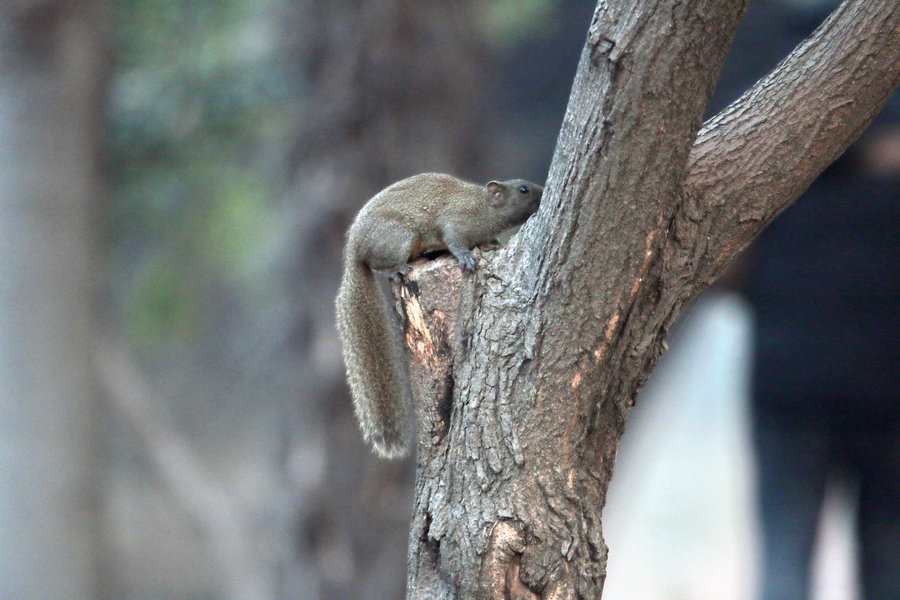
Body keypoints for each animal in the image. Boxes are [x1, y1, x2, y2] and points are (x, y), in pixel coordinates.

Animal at [336, 173, 540, 460]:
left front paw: (491, 244)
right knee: (382, 266)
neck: (484, 207)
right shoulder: (456, 221)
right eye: (523, 190)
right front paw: (466, 257)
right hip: (399, 237)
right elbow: (453, 240)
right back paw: (399, 268)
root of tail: (355, 252)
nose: (543, 194)